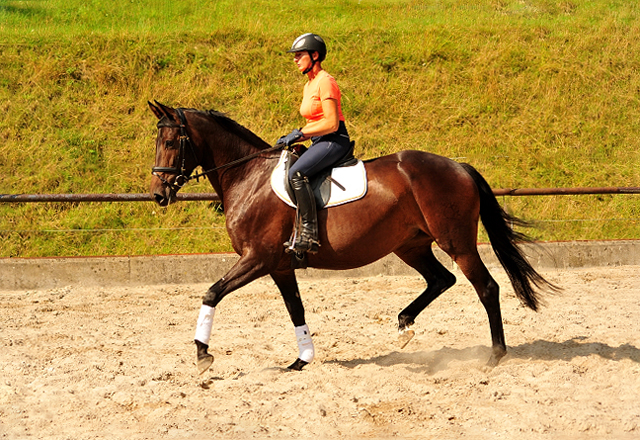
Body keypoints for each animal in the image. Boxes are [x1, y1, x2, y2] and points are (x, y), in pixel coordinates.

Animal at [148, 101, 556, 372]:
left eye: (170, 142)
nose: (157, 194)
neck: (249, 177)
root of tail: (458, 166)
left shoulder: (257, 258)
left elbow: (211, 292)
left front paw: (202, 355)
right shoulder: (279, 266)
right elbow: (296, 309)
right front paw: (301, 360)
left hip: (456, 242)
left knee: (485, 287)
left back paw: (494, 356)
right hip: (410, 245)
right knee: (442, 279)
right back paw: (404, 325)